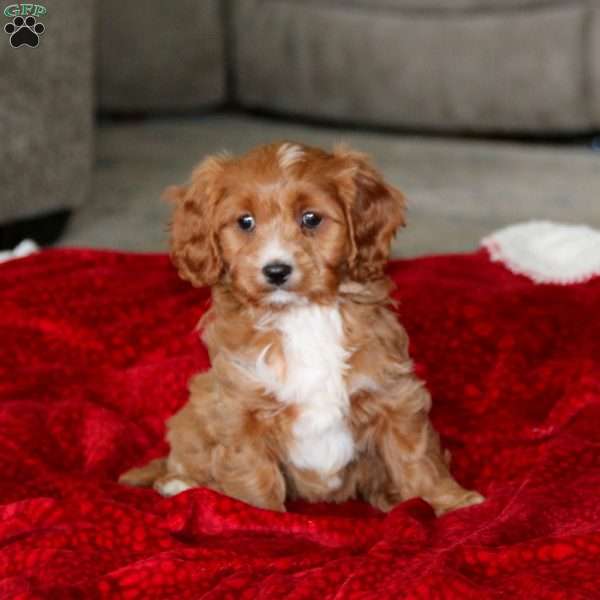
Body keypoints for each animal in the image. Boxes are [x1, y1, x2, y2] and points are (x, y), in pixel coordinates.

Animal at [119, 142, 486, 516]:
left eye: (310, 219)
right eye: (245, 222)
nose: (276, 270)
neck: (302, 314)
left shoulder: (392, 394)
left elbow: (416, 457)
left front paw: (451, 503)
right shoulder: (239, 410)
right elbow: (253, 477)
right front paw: (258, 518)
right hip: (195, 413)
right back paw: (180, 484)